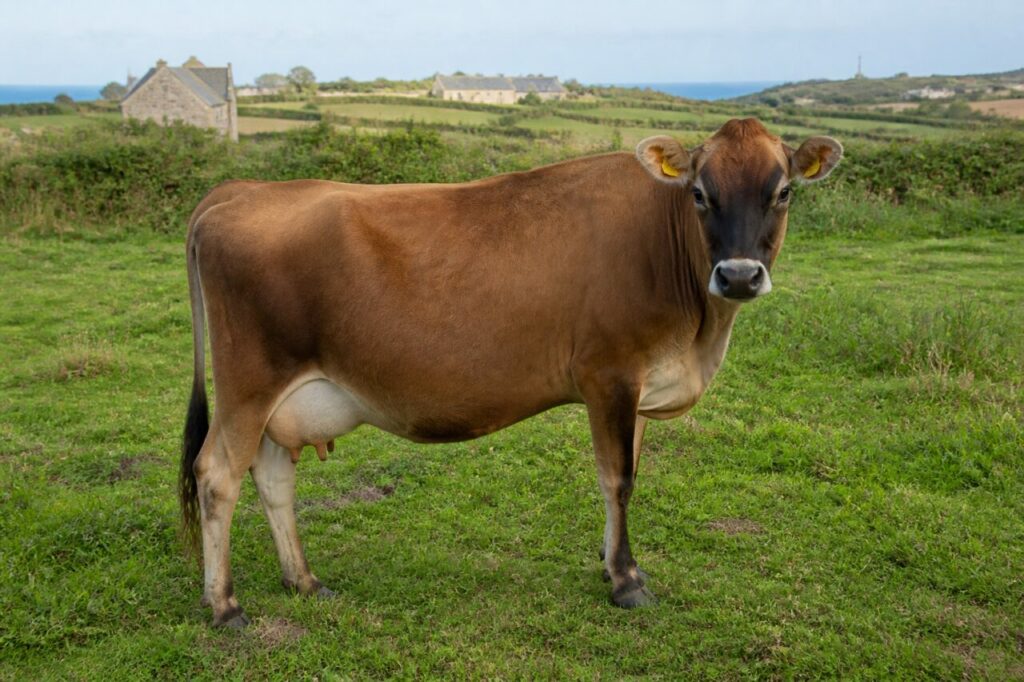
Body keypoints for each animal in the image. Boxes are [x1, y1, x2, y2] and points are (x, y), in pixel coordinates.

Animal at [180, 118, 842, 627]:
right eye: (700, 193)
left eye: (783, 192)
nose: (739, 276)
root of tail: (237, 191)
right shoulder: (609, 374)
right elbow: (617, 479)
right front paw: (626, 581)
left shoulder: (640, 385)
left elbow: (630, 475)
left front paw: (612, 562)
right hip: (249, 383)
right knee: (216, 476)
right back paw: (224, 606)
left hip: (280, 400)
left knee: (272, 478)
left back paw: (304, 580)